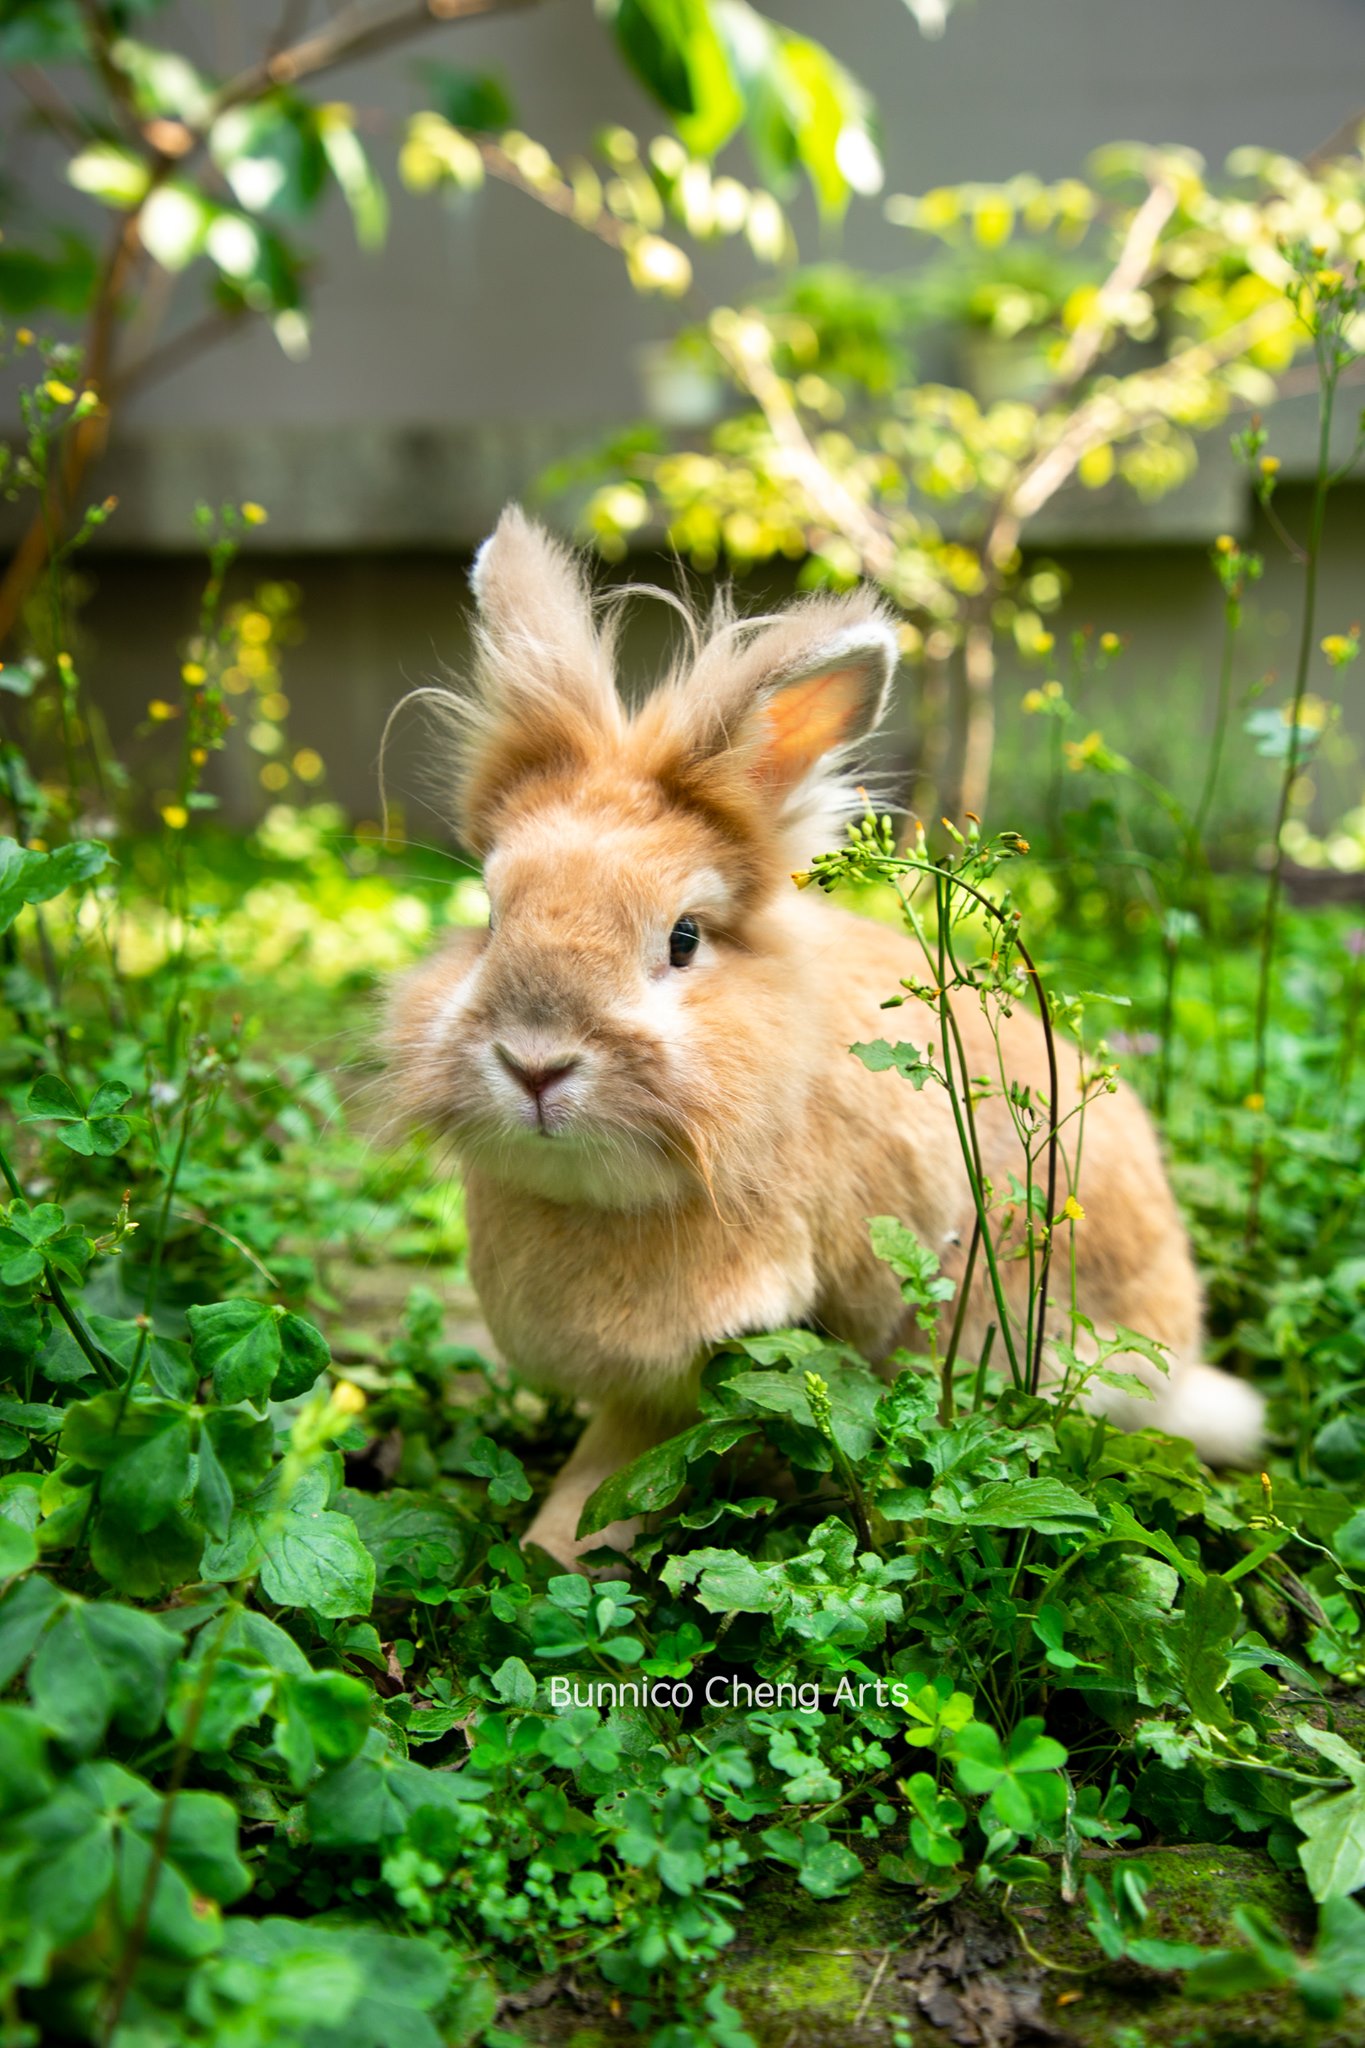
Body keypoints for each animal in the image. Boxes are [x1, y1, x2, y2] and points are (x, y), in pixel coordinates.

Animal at [386, 507, 1265, 1570]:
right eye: (487, 914)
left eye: (683, 938)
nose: (535, 1061)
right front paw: (554, 1547)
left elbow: (628, 1457)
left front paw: (566, 1544)